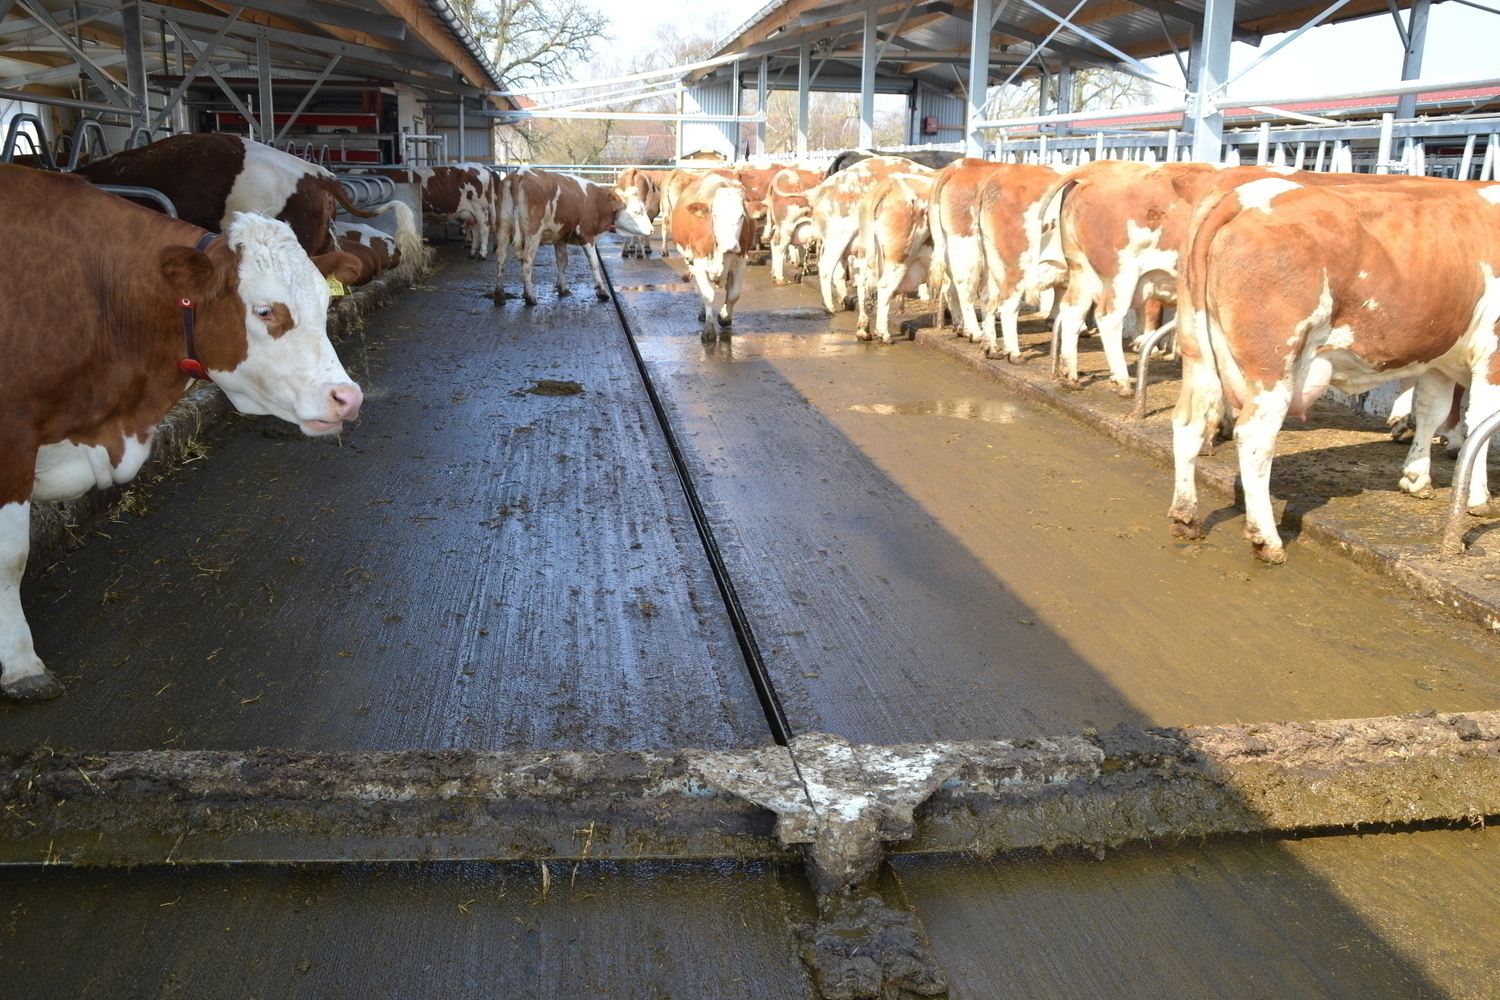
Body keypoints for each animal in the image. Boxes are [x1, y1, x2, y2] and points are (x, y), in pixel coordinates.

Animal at [0, 165, 364, 700]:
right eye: (265, 311)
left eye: (323, 302)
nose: (348, 398)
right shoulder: (12, 439)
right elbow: (12, 555)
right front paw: (23, 667)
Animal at [493, 168, 652, 306]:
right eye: (636, 211)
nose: (651, 230)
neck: (596, 202)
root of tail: (519, 173)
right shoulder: (587, 235)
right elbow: (594, 263)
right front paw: (602, 291)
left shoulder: (560, 237)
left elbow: (562, 262)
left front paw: (563, 288)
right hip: (533, 233)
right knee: (527, 261)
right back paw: (530, 296)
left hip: (503, 227)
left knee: (501, 257)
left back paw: (499, 294)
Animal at [669, 172, 755, 339]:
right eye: (715, 215)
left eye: (742, 216)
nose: (730, 245)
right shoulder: (699, 263)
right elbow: (708, 294)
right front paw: (709, 329)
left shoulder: (741, 262)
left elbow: (734, 294)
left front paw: (724, 316)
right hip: (691, 260)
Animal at [855, 172, 936, 343]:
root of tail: (891, 181)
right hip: (899, 257)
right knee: (884, 286)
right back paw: (884, 334)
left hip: (866, 251)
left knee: (863, 285)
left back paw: (863, 330)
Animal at [1168, 174, 1500, 564]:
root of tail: (1243, 193)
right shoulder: (1491, 352)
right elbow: (1481, 424)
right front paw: (1479, 500)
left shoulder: (1440, 356)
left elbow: (1431, 412)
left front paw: (1416, 477)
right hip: (1275, 361)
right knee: (1254, 436)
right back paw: (1267, 540)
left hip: (1197, 351)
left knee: (1189, 422)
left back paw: (1186, 517)